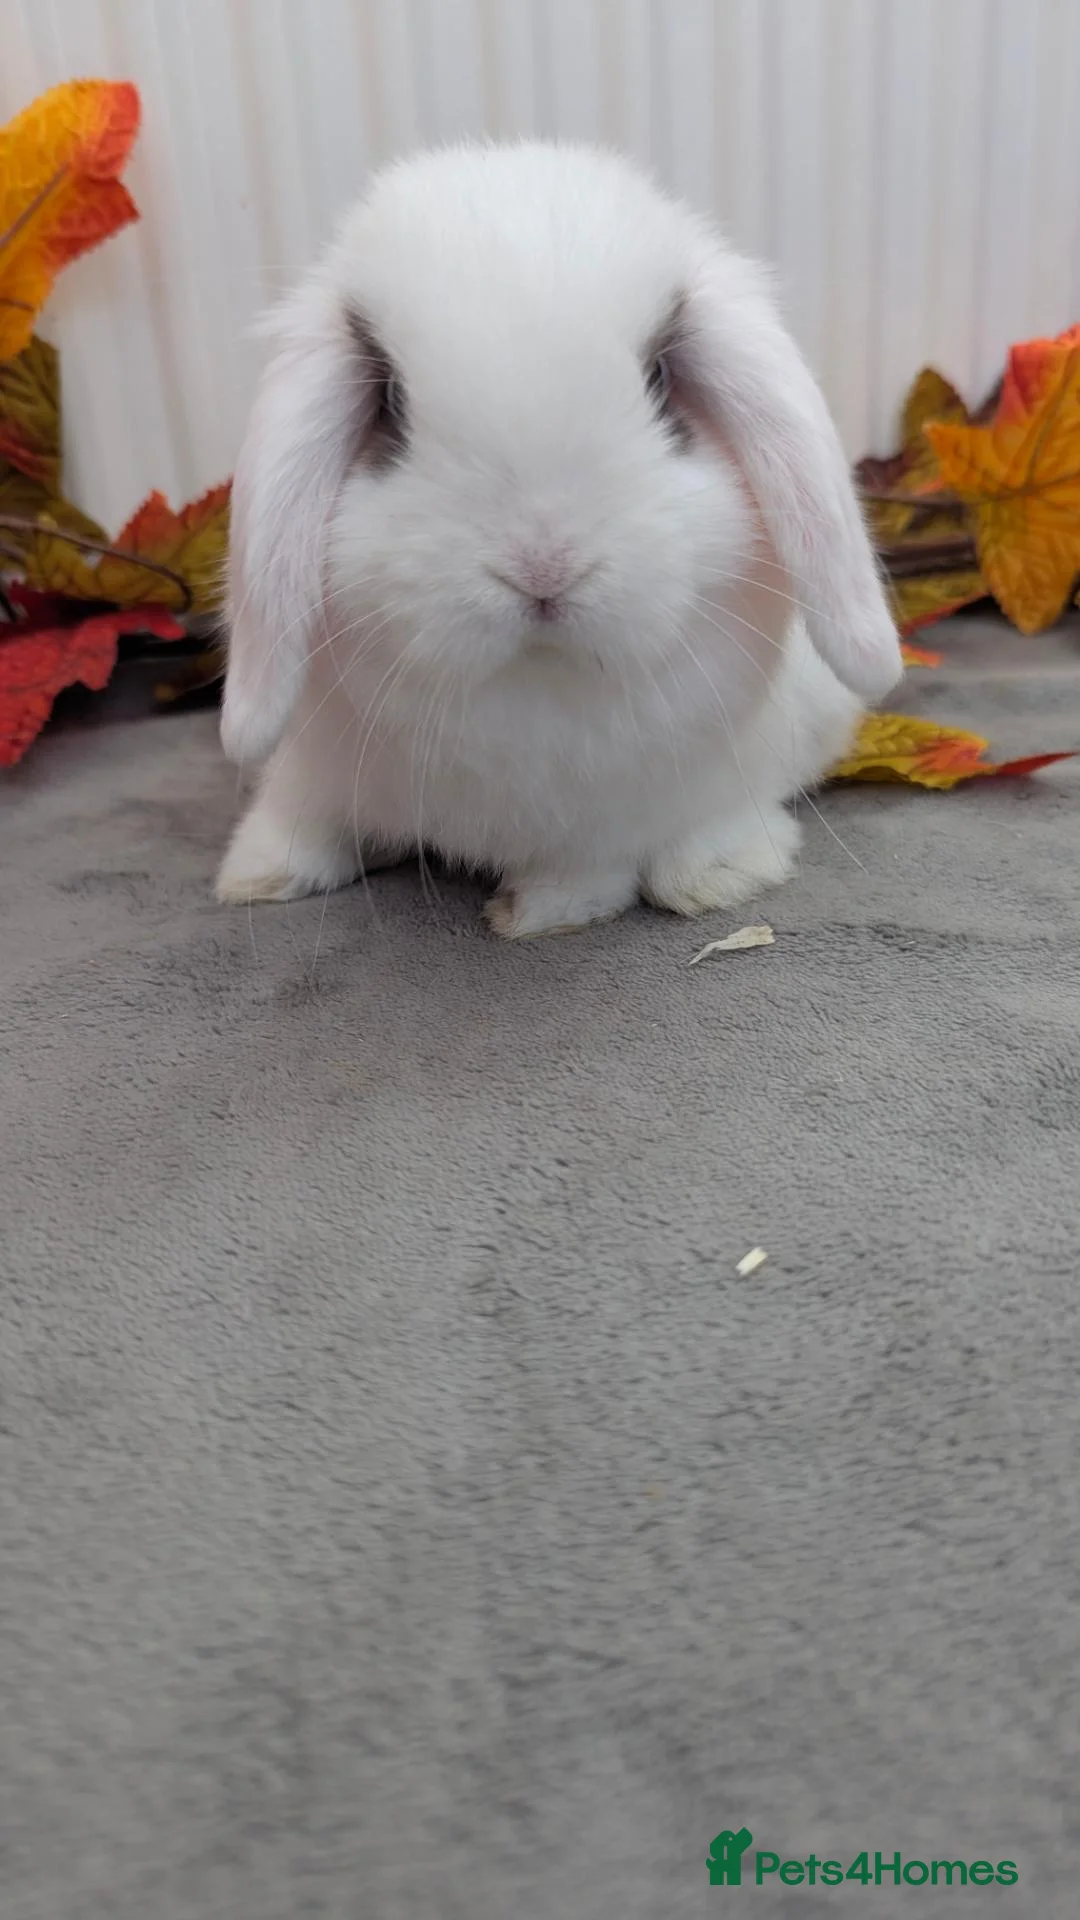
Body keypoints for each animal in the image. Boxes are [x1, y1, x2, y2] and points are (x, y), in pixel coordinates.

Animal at [216, 140, 900, 938]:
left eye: (659, 378)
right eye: (389, 400)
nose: (543, 569)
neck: (534, 682)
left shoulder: (609, 820)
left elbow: (587, 871)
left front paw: (533, 914)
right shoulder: (311, 762)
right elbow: (304, 814)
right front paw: (256, 876)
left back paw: (715, 874)